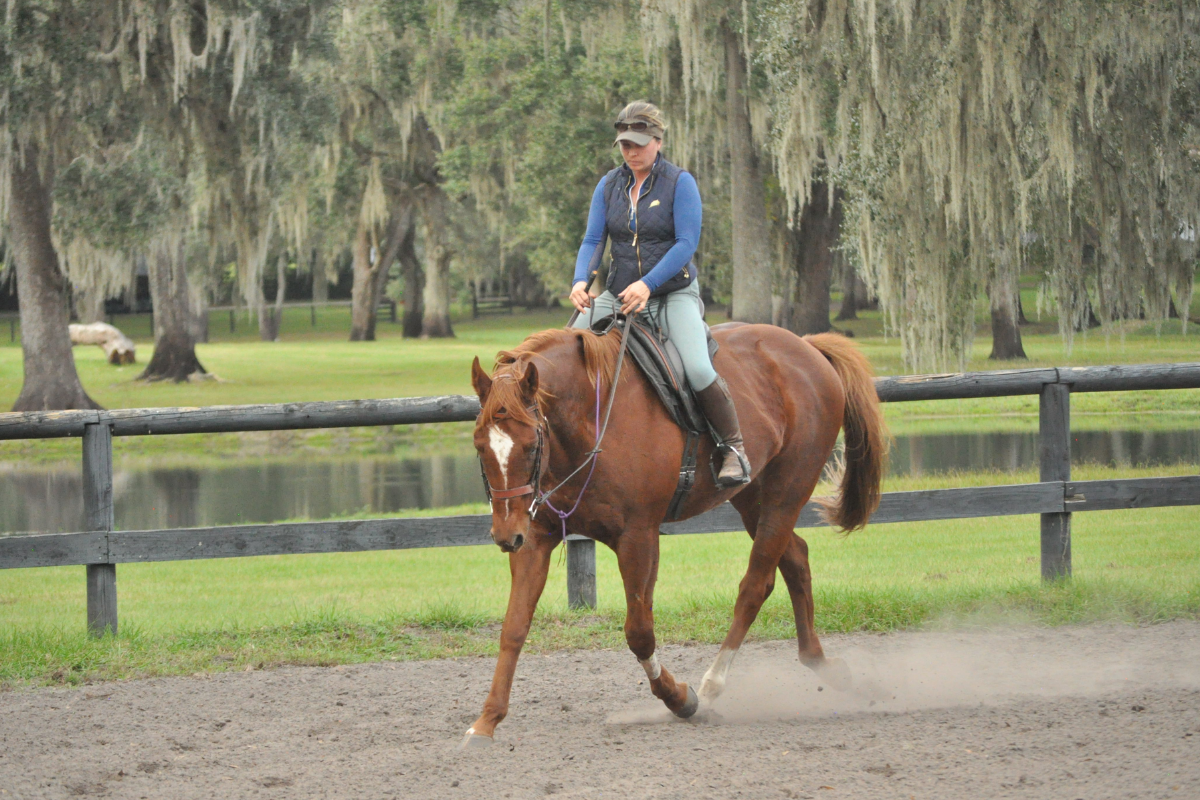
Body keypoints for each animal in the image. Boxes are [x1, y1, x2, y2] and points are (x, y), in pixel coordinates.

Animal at [463, 321, 888, 748]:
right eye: (480, 446)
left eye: (531, 446)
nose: (505, 536)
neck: (589, 421)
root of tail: (807, 347)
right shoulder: (535, 539)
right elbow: (514, 628)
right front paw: (486, 720)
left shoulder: (638, 538)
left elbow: (639, 633)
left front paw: (681, 699)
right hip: (754, 497)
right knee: (795, 559)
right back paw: (824, 665)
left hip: (788, 492)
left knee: (755, 584)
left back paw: (713, 685)